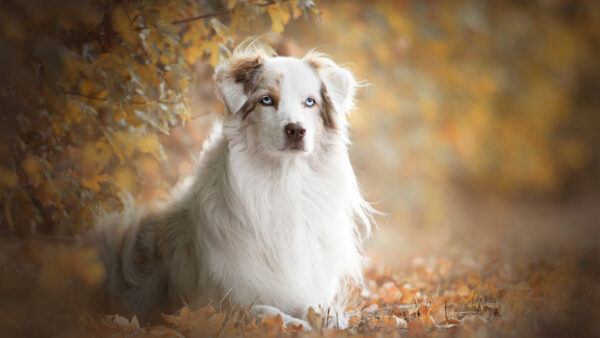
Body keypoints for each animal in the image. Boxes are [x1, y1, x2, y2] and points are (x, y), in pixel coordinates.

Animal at [91, 43, 372, 328]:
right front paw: (300, 326)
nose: (296, 130)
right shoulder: (211, 305)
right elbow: (265, 311)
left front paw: (331, 323)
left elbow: (322, 308)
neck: (283, 182)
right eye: (266, 100)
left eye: (310, 102)